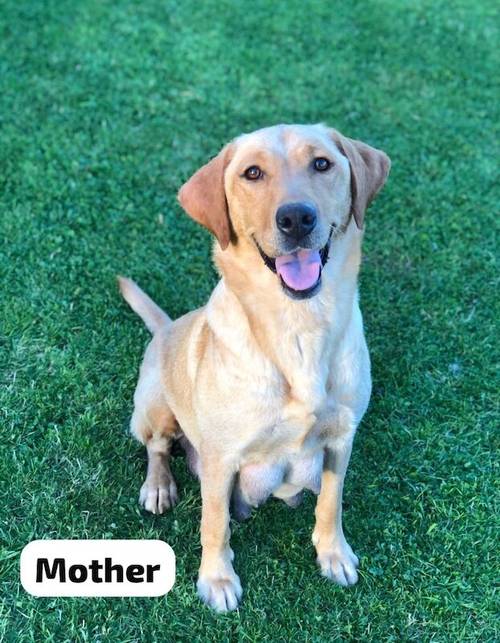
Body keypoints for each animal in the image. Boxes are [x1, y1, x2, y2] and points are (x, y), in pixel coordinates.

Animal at [118, 123, 390, 612]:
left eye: (322, 163)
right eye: (252, 173)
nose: (296, 218)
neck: (299, 327)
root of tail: (166, 327)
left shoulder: (342, 439)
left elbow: (332, 503)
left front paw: (333, 554)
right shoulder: (221, 458)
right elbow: (214, 523)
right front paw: (217, 579)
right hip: (154, 406)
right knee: (157, 447)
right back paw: (159, 486)